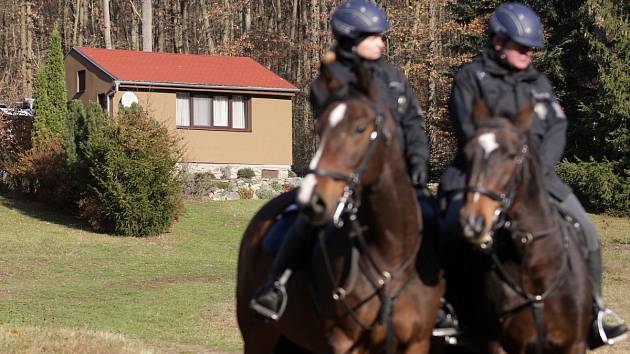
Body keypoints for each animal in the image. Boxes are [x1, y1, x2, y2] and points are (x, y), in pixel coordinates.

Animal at [237, 56, 444, 352]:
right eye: (319, 129)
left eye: (359, 128)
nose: (312, 200)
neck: (390, 256)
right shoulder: (343, 342)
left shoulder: (416, 342)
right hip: (258, 336)